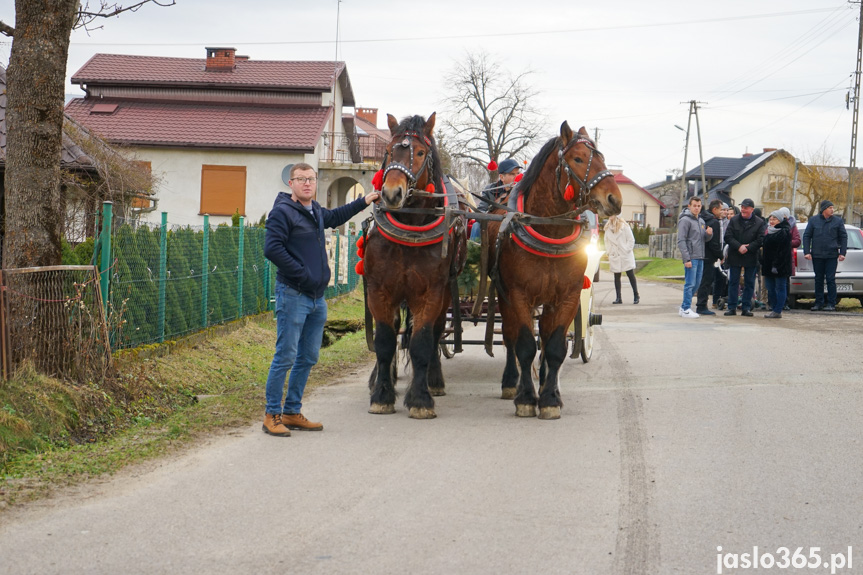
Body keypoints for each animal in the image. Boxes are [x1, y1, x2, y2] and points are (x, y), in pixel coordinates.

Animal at [362, 113, 466, 418]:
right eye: (387, 150)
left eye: (420, 153)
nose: (392, 193)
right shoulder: (379, 291)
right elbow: (385, 341)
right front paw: (382, 395)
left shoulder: (430, 293)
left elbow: (422, 341)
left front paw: (420, 399)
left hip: (446, 294)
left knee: (436, 332)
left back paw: (434, 379)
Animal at [490, 121, 616, 418]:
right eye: (578, 158)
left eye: (602, 157)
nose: (614, 198)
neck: (549, 230)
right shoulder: (518, 295)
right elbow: (524, 345)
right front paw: (526, 398)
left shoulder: (568, 296)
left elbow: (555, 346)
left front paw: (549, 398)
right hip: (503, 296)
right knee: (510, 337)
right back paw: (511, 382)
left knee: (545, 338)